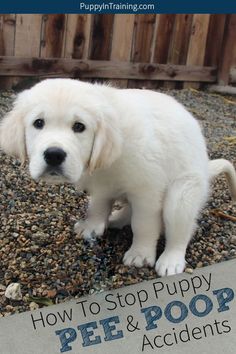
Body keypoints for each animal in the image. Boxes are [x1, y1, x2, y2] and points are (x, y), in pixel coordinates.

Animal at [0, 79, 236, 276]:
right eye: (38, 123)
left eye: (79, 126)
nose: (54, 155)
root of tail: (205, 166)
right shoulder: (102, 185)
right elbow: (97, 206)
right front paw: (92, 225)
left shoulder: (147, 190)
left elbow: (144, 224)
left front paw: (140, 253)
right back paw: (116, 218)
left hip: (182, 194)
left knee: (180, 230)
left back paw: (171, 260)